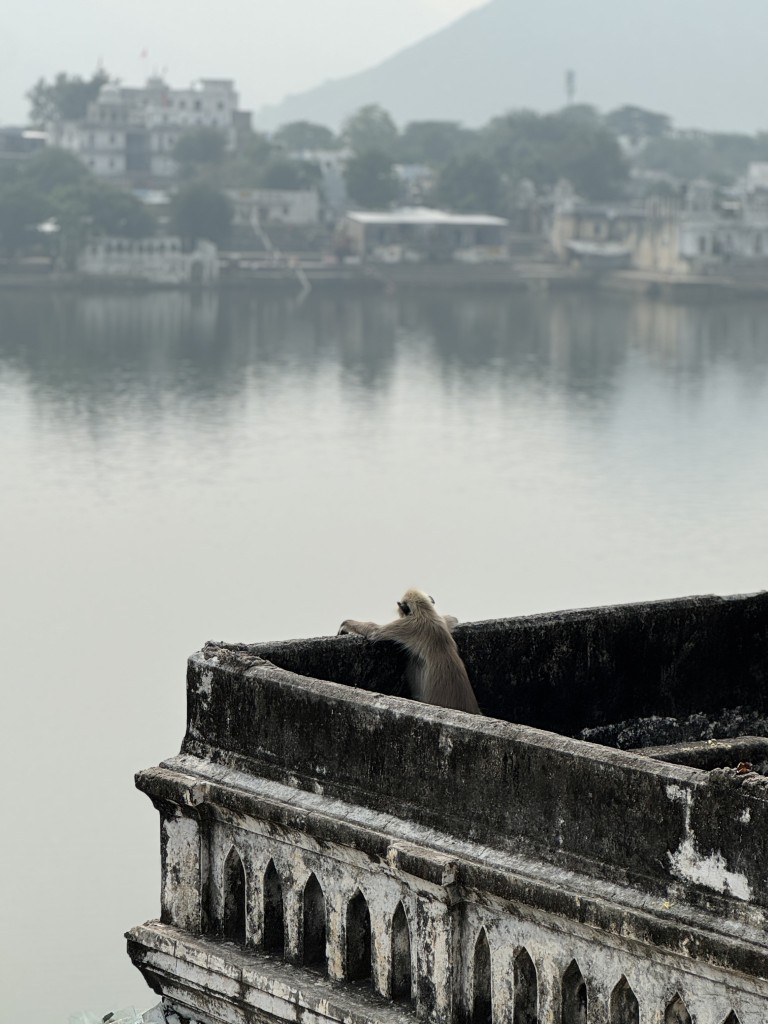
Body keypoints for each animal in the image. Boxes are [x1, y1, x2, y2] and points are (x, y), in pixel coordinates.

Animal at [338, 588, 481, 715]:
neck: (426, 614)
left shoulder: (409, 625)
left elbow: (374, 631)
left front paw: (346, 625)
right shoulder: (438, 620)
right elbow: (453, 619)